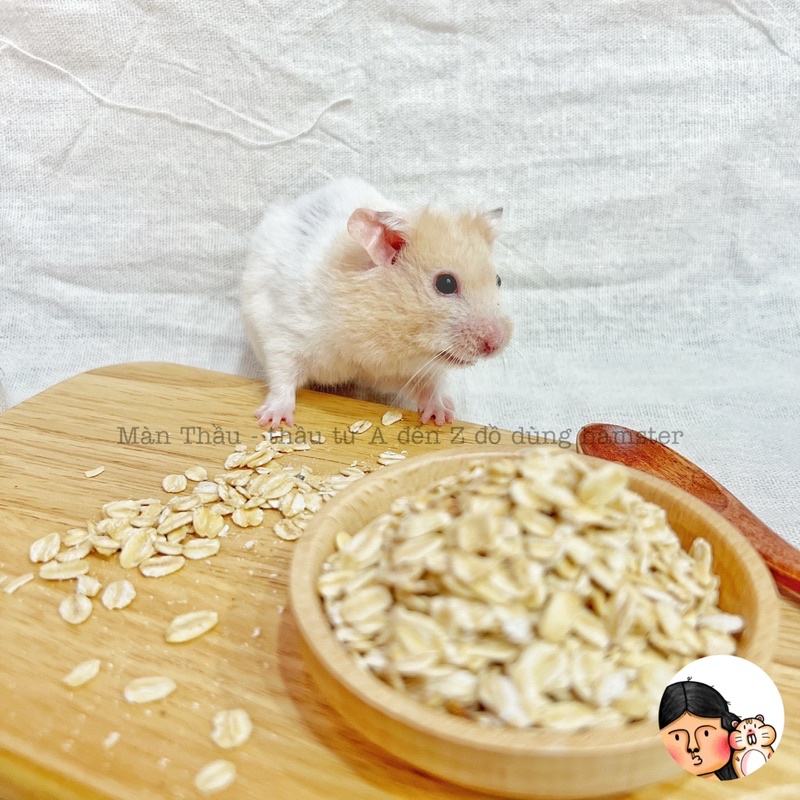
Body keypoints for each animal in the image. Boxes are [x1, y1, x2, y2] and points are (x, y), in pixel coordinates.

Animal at [241, 177, 512, 429]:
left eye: (498, 280)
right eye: (446, 283)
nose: (496, 345)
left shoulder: (416, 369)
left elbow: (431, 386)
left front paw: (442, 417)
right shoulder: (287, 334)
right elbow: (282, 376)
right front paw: (272, 420)